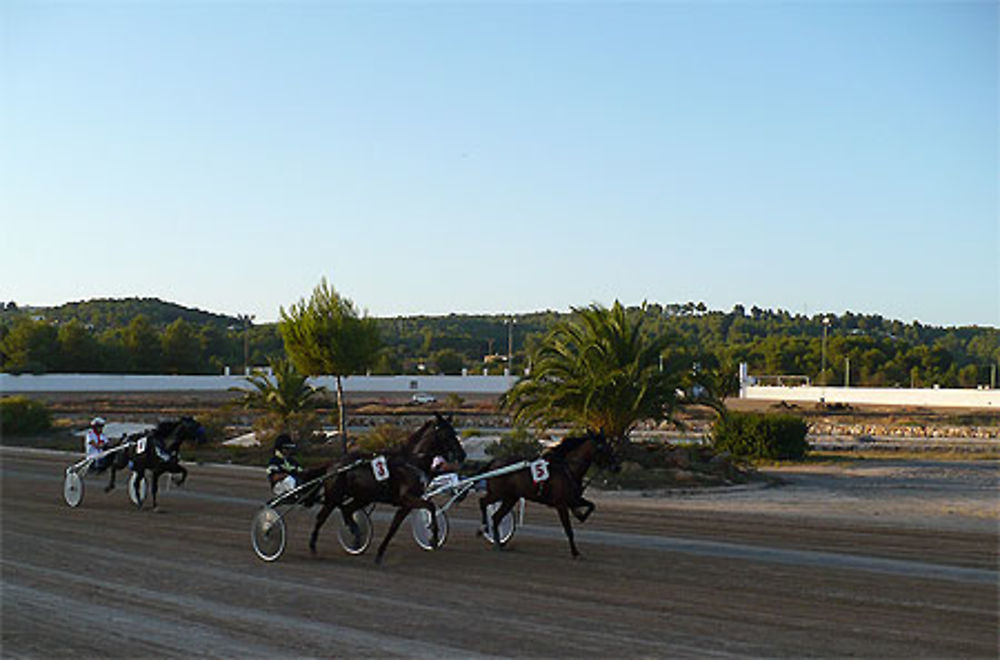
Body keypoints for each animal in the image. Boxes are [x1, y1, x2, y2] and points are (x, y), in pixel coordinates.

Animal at [310, 412, 466, 564]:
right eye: (447, 434)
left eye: (454, 432)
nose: (462, 455)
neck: (412, 462)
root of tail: (333, 465)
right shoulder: (408, 497)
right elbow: (431, 507)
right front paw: (433, 538)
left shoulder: (407, 504)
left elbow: (394, 527)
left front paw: (379, 554)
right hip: (334, 497)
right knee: (321, 517)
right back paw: (313, 547)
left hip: (363, 497)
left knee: (347, 510)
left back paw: (356, 535)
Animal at [474, 428, 616, 556]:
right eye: (602, 447)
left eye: (610, 445)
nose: (617, 466)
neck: (568, 469)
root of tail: (494, 462)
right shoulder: (561, 504)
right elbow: (568, 529)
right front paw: (575, 552)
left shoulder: (573, 499)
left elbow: (592, 505)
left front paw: (580, 515)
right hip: (498, 493)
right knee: (483, 502)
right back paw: (483, 528)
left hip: (510, 498)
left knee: (496, 517)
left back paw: (499, 543)